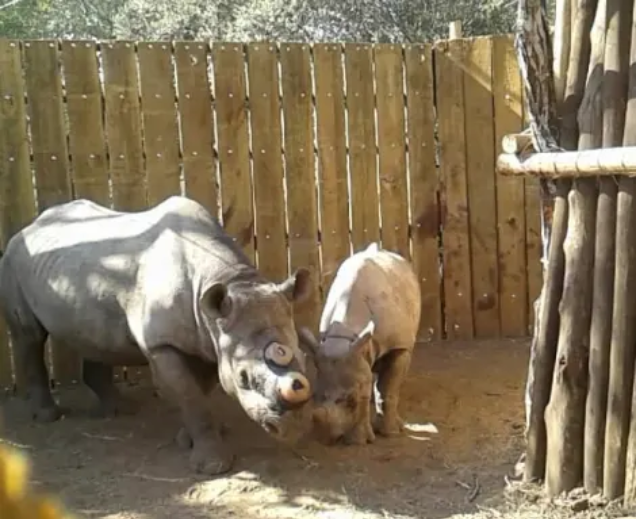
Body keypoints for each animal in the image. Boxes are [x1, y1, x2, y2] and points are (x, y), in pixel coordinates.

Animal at [0, 195, 314, 476]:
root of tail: (29, 226)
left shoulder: (209, 340)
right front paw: (212, 466)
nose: (292, 428)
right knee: (29, 336)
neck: (229, 281)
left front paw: (188, 439)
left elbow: (200, 389)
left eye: (303, 357)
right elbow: (190, 394)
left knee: (93, 330)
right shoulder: (162, 344)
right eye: (243, 378)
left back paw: (118, 410)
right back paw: (48, 416)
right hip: (13, 260)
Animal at [300, 244, 420, 446]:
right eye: (314, 395)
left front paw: (389, 434)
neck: (346, 336)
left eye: (351, 400)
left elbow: (387, 389)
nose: (325, 439)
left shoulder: (398, 346)